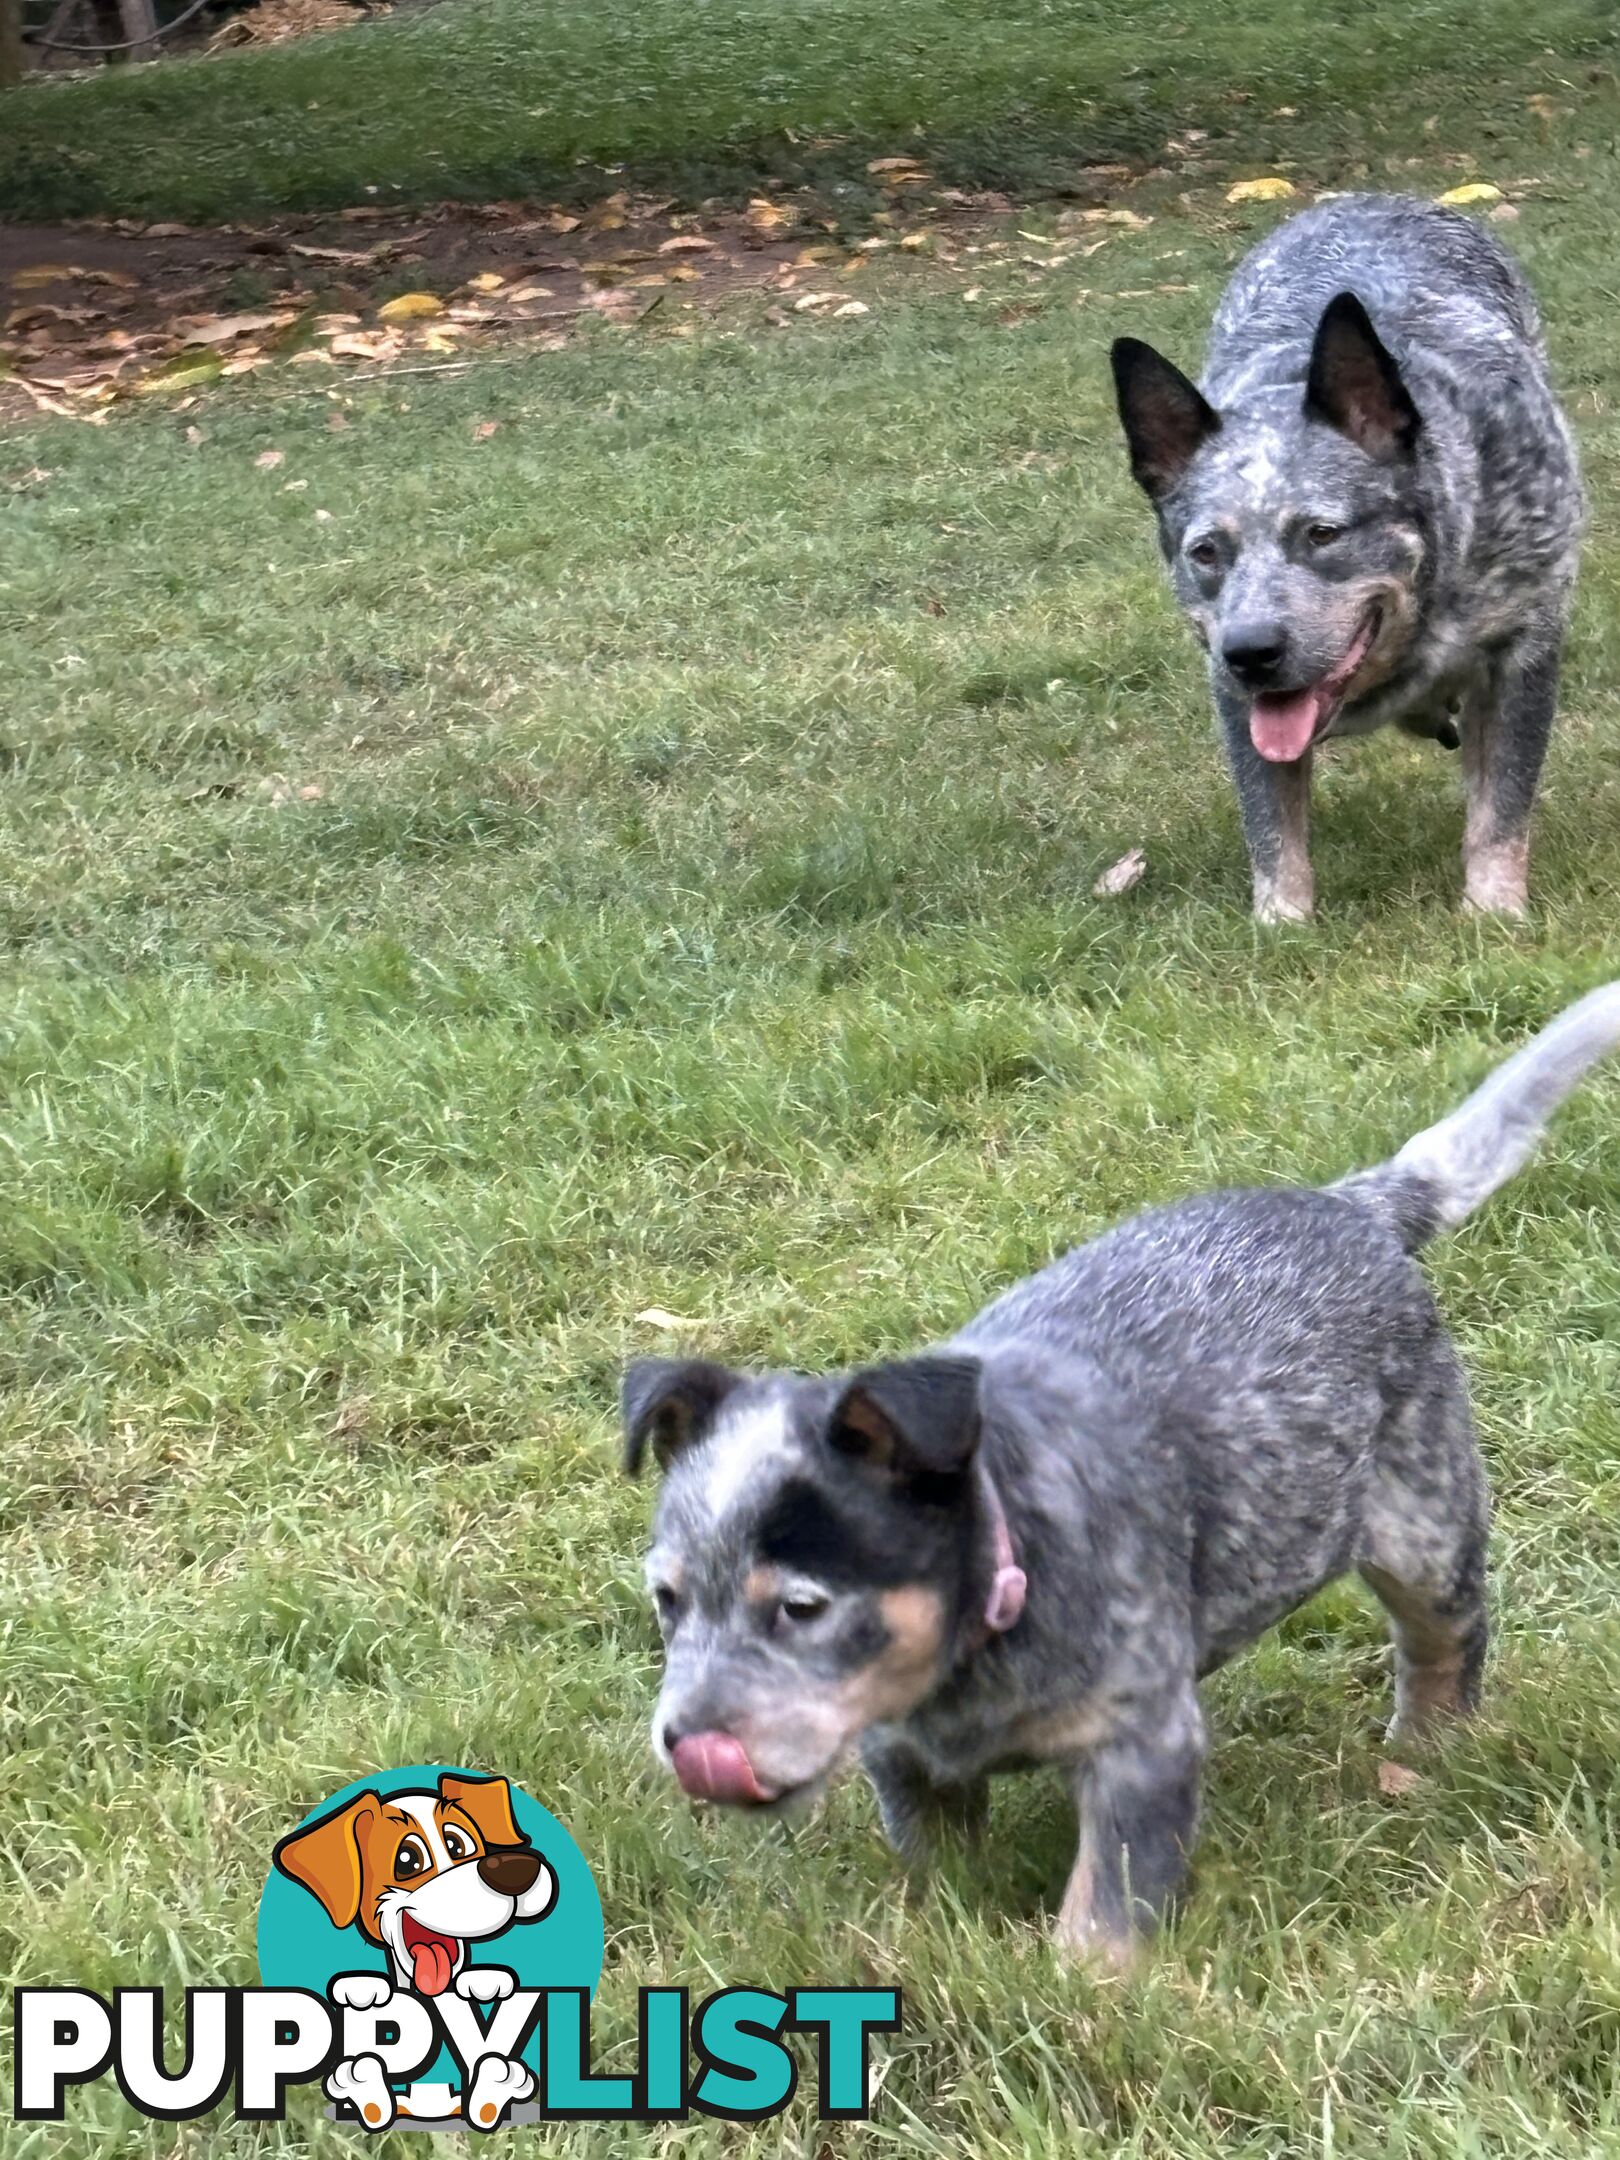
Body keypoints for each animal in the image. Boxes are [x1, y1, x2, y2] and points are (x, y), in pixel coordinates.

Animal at [622, 989, 1620, 1969]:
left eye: (801, 1608)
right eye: (668, 1601)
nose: (686, 1743)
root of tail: (1355, 1206)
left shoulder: (1141, 1741)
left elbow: (1108, 1902)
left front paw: (1081, 1990)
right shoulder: (897, 1748)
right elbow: (935, 1861)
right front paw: (938, 1934)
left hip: (1423, 1517)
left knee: (1446, 1635)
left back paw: (1430, 1747)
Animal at [1114, 190, 1581, 915]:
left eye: (1322, 533)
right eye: (1207, 551)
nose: (1251, 651)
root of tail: (1369, 197)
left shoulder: (1524, 645)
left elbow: (1503, 805)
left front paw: (1493, 912)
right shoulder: (1232, 695)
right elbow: (1271, 825)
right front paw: (1281, 922)